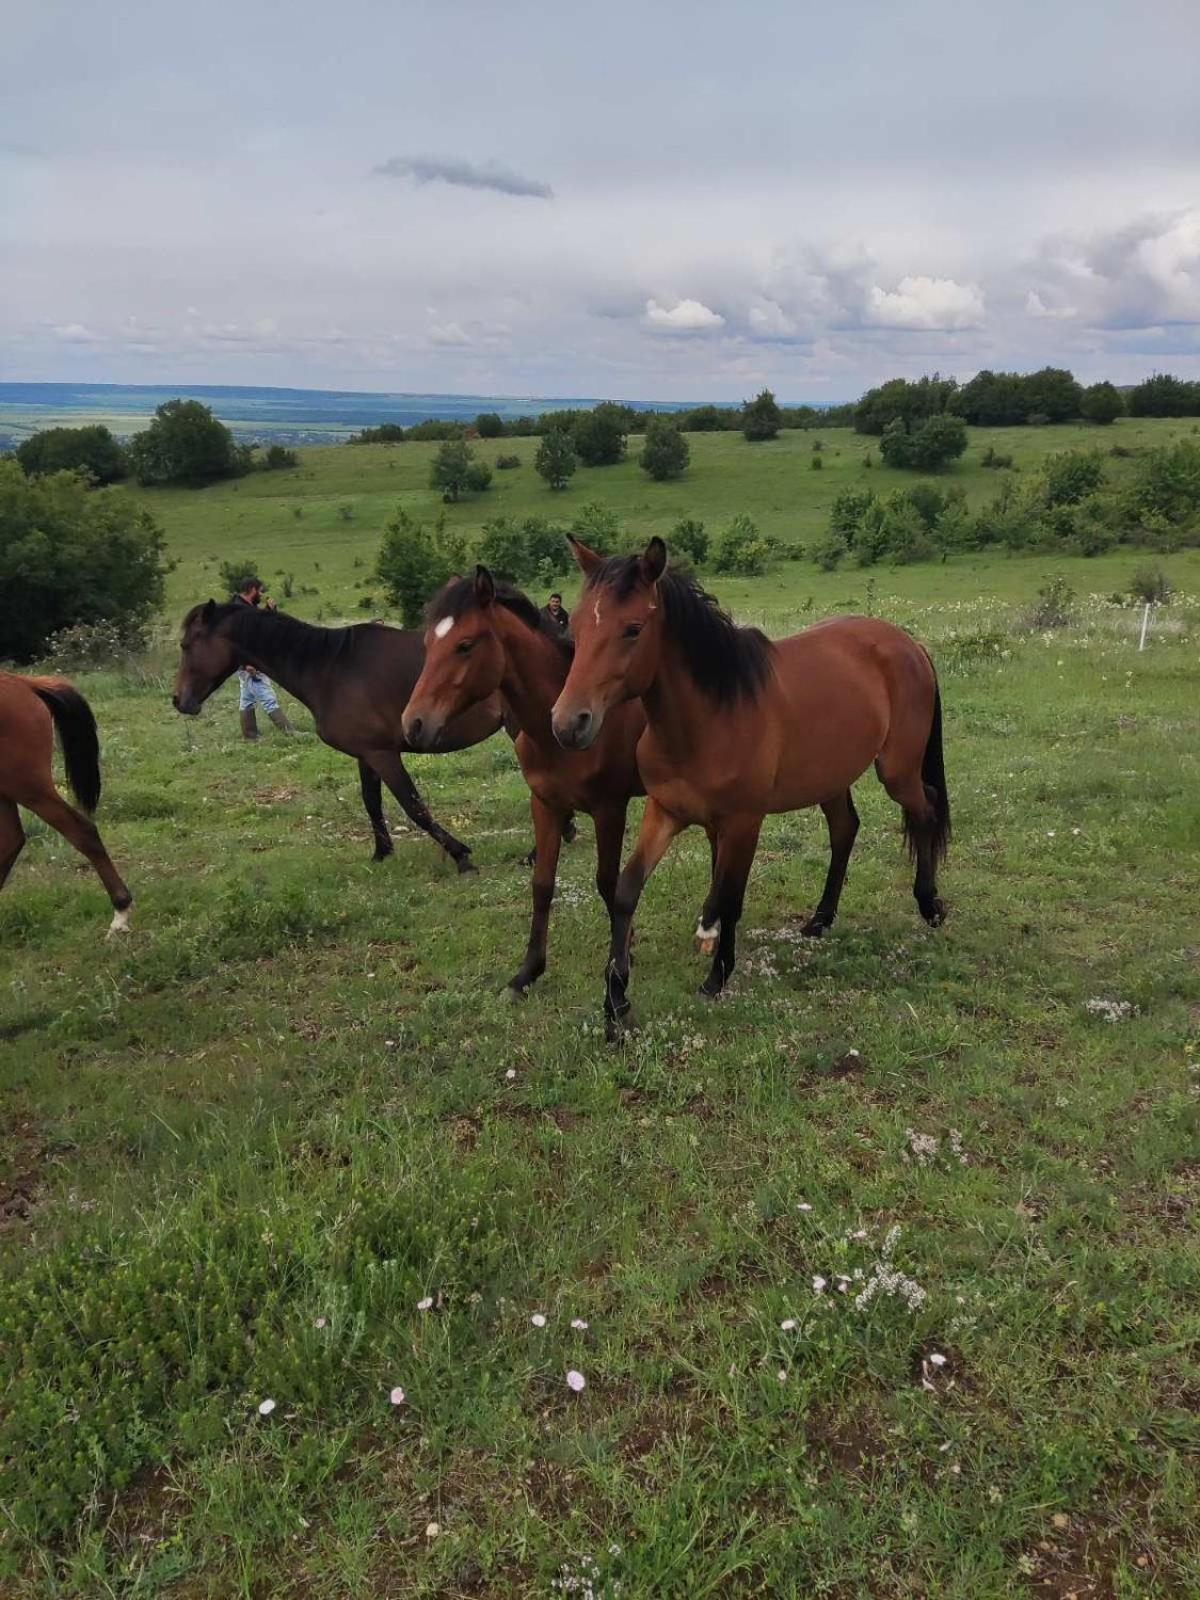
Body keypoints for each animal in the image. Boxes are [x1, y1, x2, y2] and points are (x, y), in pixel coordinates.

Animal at [171, 601, 505, 876]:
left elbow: (414, 807)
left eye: (186, 645)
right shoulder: (367, 754)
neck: (330, 669)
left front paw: (461, 856)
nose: (178, 700)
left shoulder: (383, 754)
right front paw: (381, 853)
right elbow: (372, 803)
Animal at [401, 569, 649, 992]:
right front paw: (527, 973)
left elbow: (608, 883)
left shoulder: (609, 810)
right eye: (428, 643)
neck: (558, 732)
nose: (414, 724)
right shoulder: (546, 804)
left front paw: (624, 952)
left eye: (465, 645)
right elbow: (542, 884)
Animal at [550, 537, 953, 1036]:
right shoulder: (666, 812)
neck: (708, 717)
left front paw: (716, 975)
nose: (568, 724)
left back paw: (929, 905)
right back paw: (821, 919)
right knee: (845, 830)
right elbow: (627, 891)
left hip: (897, 772)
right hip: (831, 777)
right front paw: (616, 998)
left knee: (925, 811)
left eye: (633, 628)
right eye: (576, 627)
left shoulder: (744, 822)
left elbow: (729, 896)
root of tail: (908, 643)